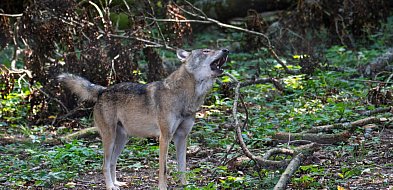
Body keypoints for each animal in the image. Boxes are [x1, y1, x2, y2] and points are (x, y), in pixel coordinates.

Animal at [58, 48, 230, 189]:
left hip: (122, 139)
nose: (226, 50)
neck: (185, 96)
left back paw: (116, 183)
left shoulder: (182, 137)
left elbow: (183, 166)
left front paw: (185, 185)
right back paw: (110, 186)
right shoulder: (164, 137)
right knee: (104, 165)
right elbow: (164, 169)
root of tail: (103, 90)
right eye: (206, 51)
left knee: (113, 162)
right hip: (110, 138)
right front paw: (162, 187)